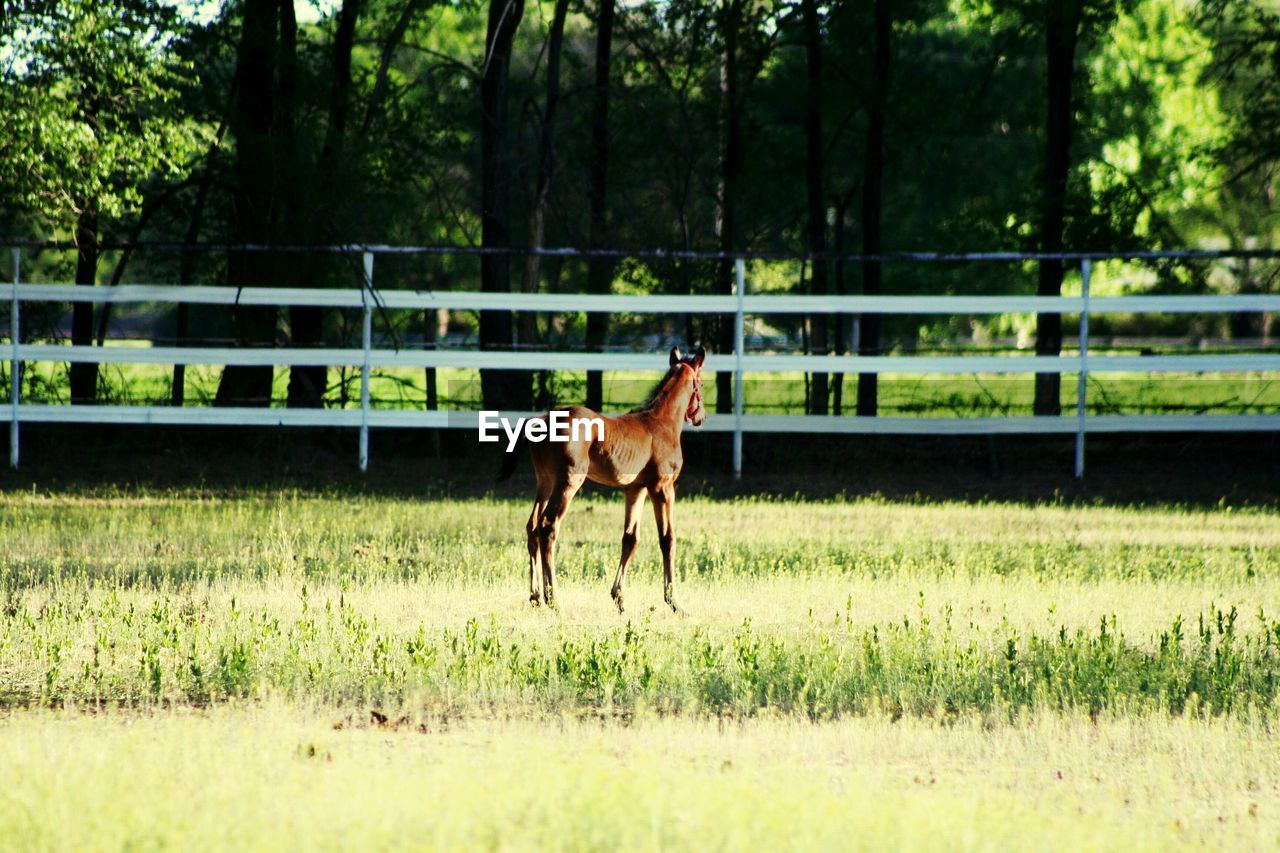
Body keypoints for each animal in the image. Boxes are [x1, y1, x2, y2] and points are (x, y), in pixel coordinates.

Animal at [496, 345, 706, 612]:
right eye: (701, 383)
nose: (701, 417)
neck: (661, 422)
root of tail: (542, 420)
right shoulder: (662, 487)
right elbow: (668, 539)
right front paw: (675, 602)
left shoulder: (635, 488)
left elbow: (630, 538)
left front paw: (619, 598)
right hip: (568, 482)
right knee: (548, 526)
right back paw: (553, 599)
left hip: (545, 481)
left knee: (532, 526)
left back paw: (535, 597)